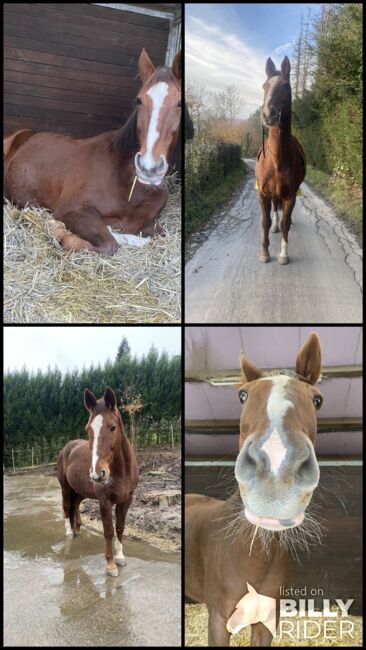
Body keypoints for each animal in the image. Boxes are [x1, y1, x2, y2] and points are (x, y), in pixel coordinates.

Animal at [2, 48, 180, 254]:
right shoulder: (71, 210)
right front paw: (60, 232)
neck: (127, 187)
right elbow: (109, 243)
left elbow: (158, 234)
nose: (148, 167)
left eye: (179, 103)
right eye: (139, 100)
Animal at [57, 384, 139, 572]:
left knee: (75, 505)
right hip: (65, 488)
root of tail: (67, 448)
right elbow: (108, 531)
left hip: (80, 491)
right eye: (89, 429)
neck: (121, 472)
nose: (97, 473)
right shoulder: (104, 501)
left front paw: (120, 558)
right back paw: (68, 532)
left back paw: (77, 530)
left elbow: (120, 528)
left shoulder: (126, 500)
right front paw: (110, 565)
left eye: (112, 427)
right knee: (66, 507)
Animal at [256, 57, 308, 264]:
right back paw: (274, 226)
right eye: (265, 86)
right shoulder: (263, 194)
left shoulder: (290, 196)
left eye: (286, 86)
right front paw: (264, 253)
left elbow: (286, 223)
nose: (268, 114)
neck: (277, 162)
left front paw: (283, 254)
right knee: (274, 212)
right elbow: (265, 221)